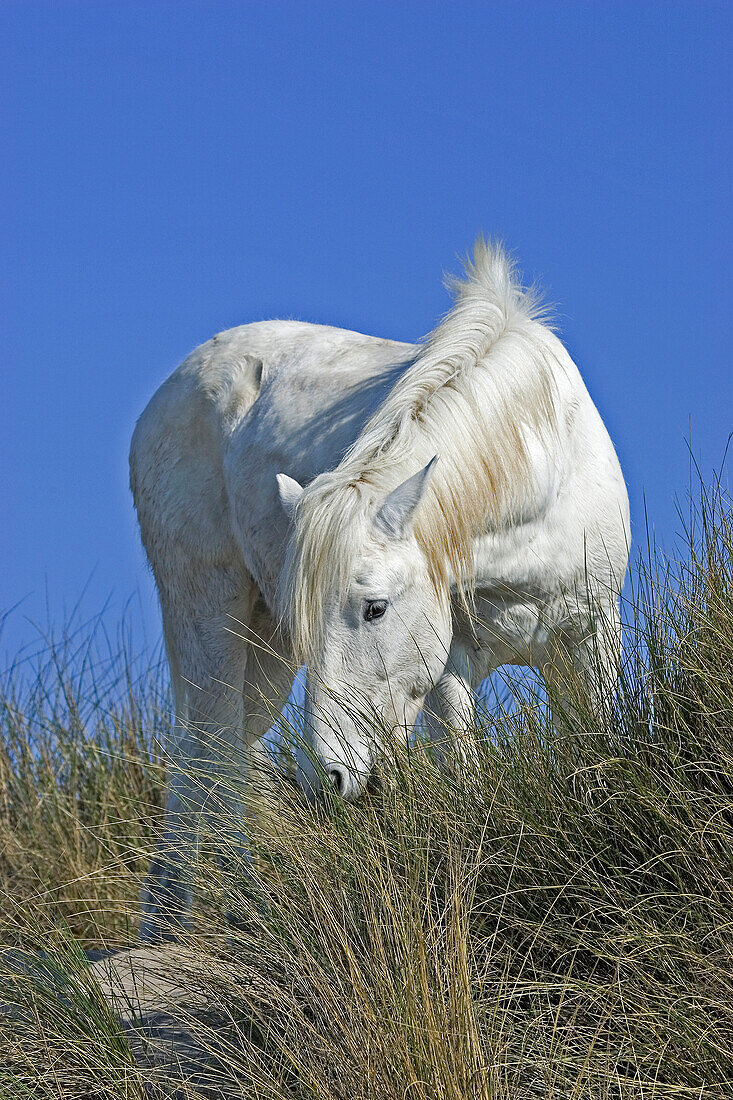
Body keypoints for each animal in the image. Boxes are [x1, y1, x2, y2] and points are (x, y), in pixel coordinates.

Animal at [128, 238, 625, 937]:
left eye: (375, 609)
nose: (328, 779)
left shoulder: (590, 636)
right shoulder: (451, 667)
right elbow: (464, 778)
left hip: (263, 654)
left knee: (210, 758)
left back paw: (169, 915)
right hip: (209, 614)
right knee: (212, 756)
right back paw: (229, 911)